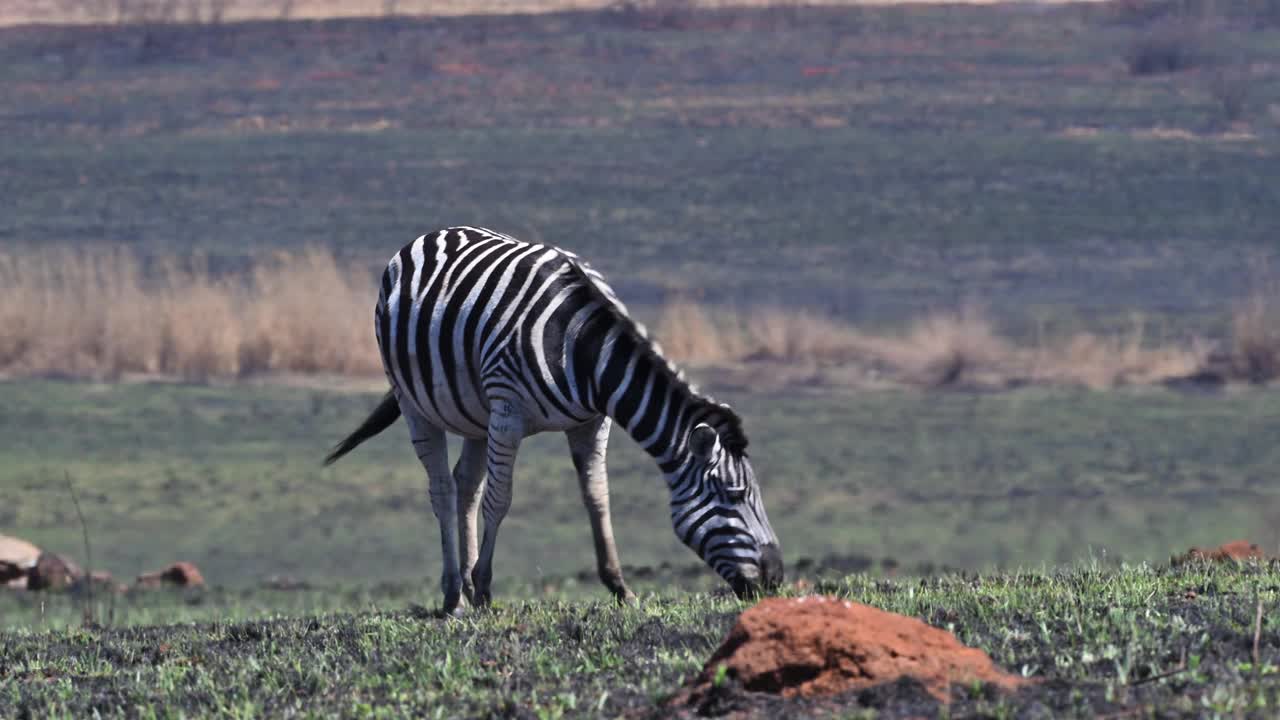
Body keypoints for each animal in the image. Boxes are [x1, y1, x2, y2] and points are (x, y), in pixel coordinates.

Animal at [322, 224, 778, 609]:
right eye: (735, 495)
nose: (775, 579)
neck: (584, 348)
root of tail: (433, 233)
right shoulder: (508, 411)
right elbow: (500, 499)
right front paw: (485, 589)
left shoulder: (590, 421)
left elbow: (597, 496)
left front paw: (620, 587)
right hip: (415, 401)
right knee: (442, 489)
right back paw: (456, 594)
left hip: (476, 413)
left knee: (465, 485)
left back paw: (464, 585)